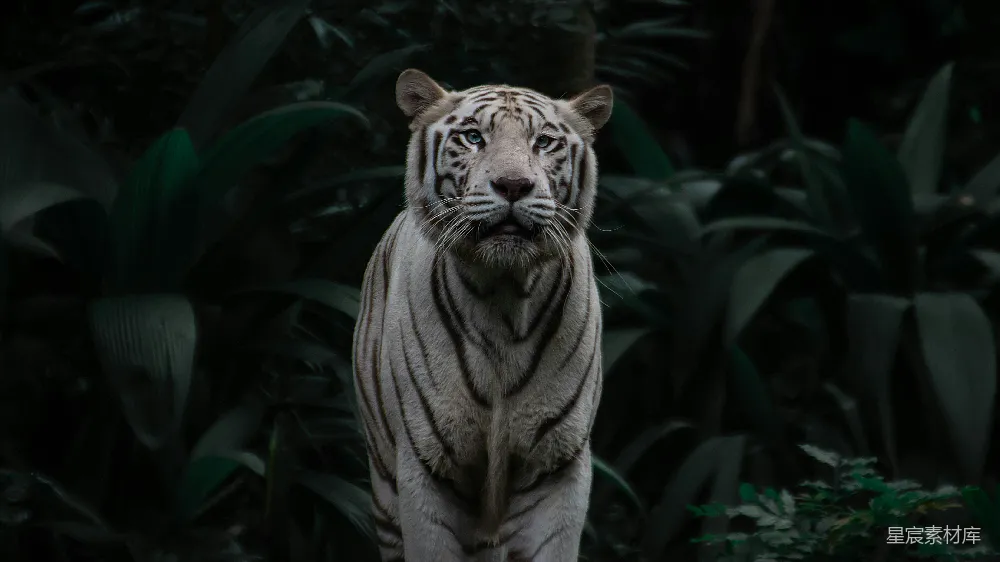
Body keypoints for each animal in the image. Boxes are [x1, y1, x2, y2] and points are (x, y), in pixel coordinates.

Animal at [352, 68, 612, 562]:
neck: (505, 297)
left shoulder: (557, 466)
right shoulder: (426, 468)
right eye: (473, 137)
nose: (513, 185)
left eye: (544, 142)